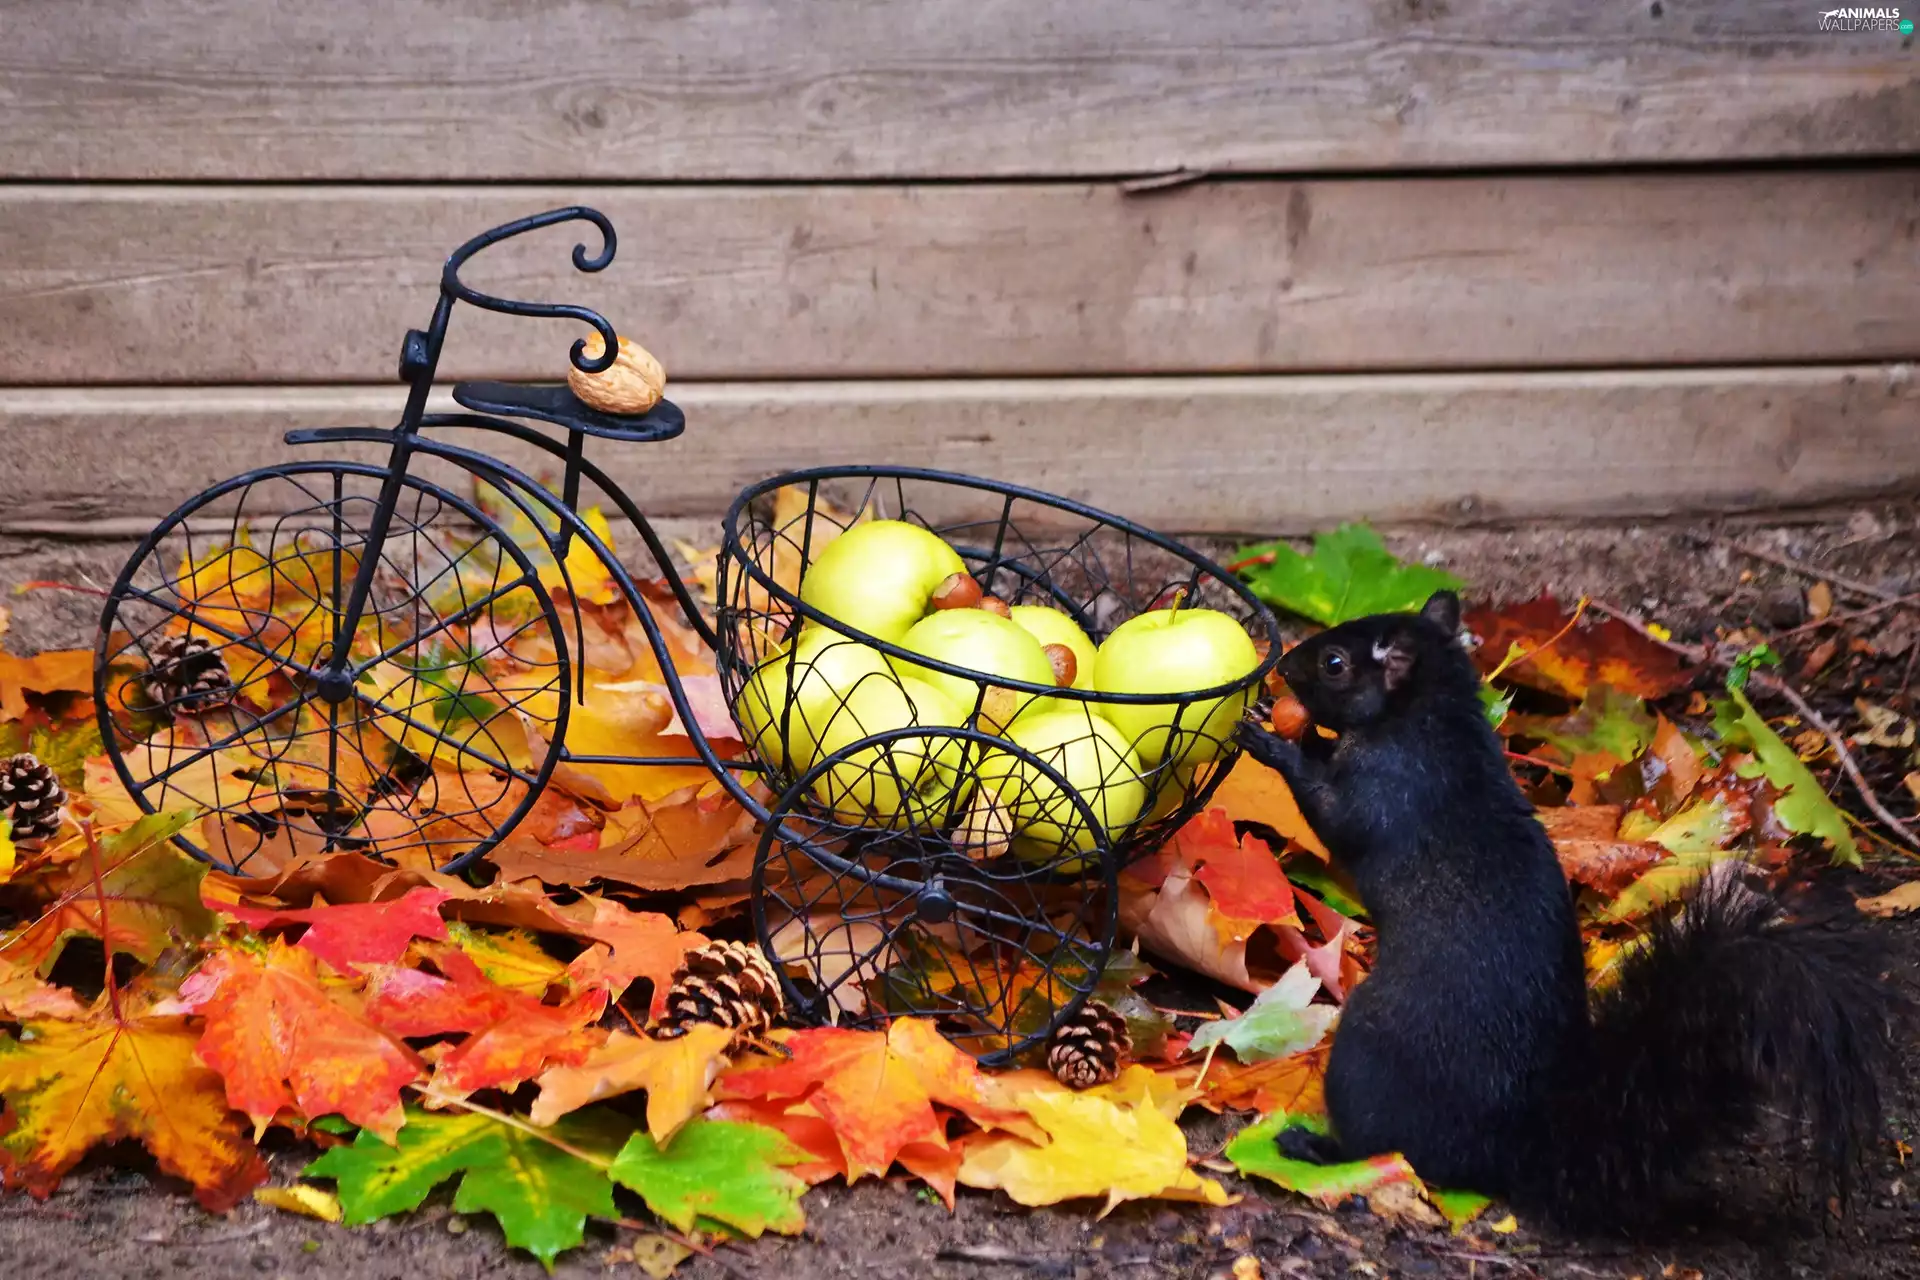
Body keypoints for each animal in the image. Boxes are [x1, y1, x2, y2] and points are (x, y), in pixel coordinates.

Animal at [1232, 590, 1900, 1229]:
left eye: (1334, 663)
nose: (1285, 666)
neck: (1426, 721)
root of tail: (1518, 1143)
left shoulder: (1392, 789)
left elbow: (1333, 814)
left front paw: (1273, 744)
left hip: (1369, 1054)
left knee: (1389, 1145)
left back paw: (1312, 1145)